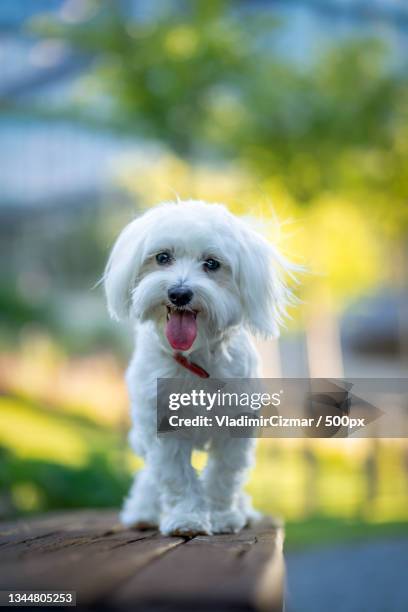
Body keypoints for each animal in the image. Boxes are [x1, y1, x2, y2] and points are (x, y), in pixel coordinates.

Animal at [104, 200, 294, 536]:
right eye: (162, 257)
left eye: (212, 264)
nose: (179, 293)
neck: (195, 358)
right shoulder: (162, 427)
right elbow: (176, 478)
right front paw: (187, 519)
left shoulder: (236, 427)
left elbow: (223, 476)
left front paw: (222, 516)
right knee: (149, 479)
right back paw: (142, 512)